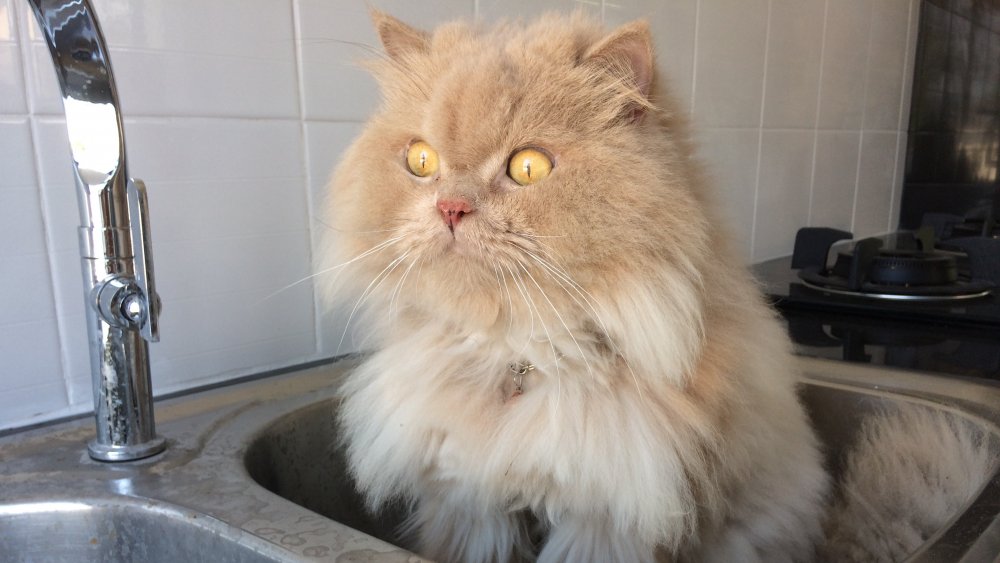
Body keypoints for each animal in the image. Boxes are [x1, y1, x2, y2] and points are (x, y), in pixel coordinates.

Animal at [318, 9, 828, 563]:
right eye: (422, 162)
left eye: (528, 167)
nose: (450, 208)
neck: (517, 354)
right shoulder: (469, 507)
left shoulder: (603, 528)